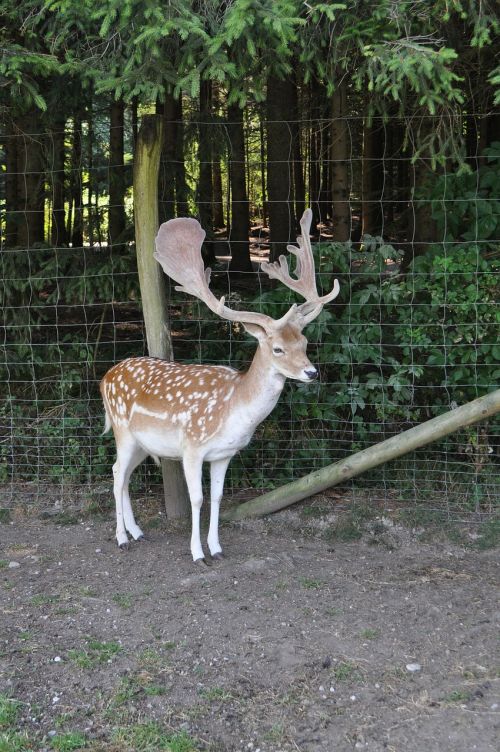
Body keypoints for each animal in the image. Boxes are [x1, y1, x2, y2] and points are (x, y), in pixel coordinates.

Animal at [99, 206, 338, 564]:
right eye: (278, 349)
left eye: (304, 343)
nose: (311, 373)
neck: (234, 407)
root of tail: (105, 377)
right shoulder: (192, 447)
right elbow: (197, 499)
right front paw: (198, 553)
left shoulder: (224, 454)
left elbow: (218, 496)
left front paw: (217, 548)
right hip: (122, 429)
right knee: (115, 472)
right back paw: (121, 538)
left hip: (142, 442)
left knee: (124, 474)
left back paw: (137, 532)